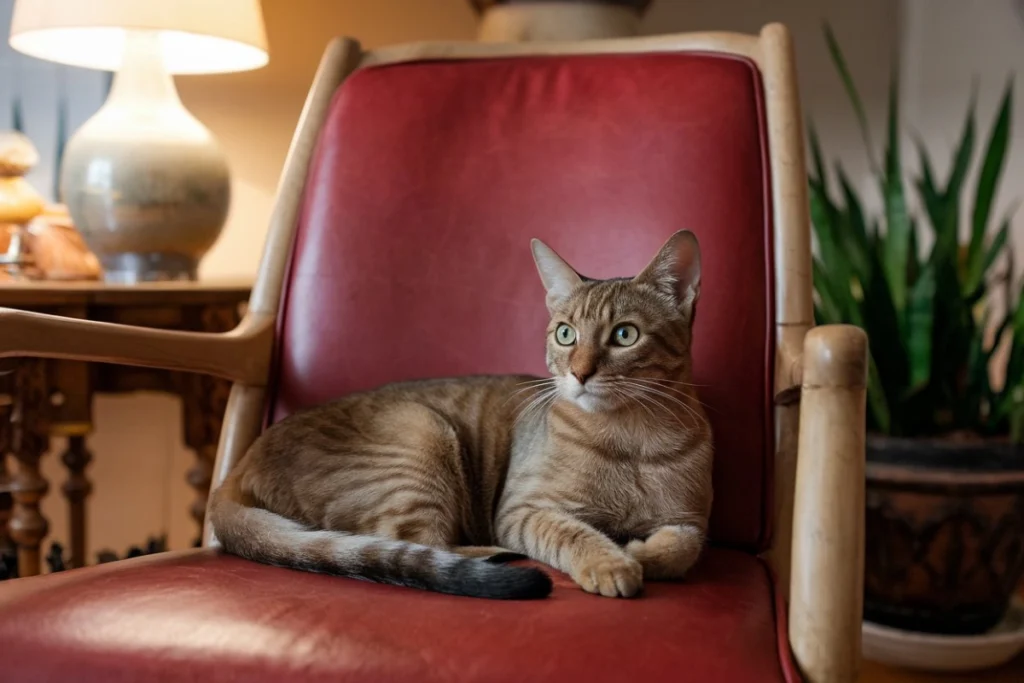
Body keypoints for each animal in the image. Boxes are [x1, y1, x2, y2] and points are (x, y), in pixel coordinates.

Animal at [209, 232, 712, 602]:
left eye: (625, 335)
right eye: (566, 334)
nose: (580, 372)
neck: (631, 439)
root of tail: (235, 472)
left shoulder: (691, 520)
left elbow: (683, 547)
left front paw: (641, 552)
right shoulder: (523, 510)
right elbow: (574, 534)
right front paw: (611, 561)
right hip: (419, 438)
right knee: (413, 543)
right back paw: (494, 554)